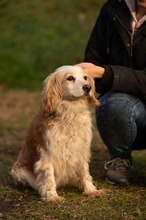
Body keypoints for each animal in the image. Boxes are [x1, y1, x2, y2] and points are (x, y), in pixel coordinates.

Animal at [10, 65, 106, 201]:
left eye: (85, 77)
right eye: (70, 78)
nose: (88, 87)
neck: (70, 112)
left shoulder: (81, 149)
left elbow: (85, 172)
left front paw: (91, 190)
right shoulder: (48, 152)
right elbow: (49, 176)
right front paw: (52, 196)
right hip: (18, 170)